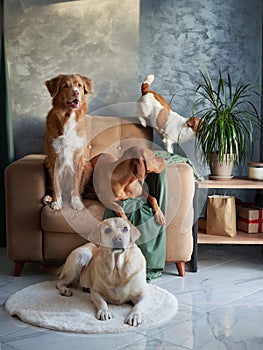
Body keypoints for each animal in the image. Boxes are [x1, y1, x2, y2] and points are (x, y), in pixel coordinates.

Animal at [44, 74, 94, 211]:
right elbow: (56, 183)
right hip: (45, 160)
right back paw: (48, 197)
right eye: (65, 86)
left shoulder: (78, 158)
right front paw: (56, 201)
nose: (76, 92)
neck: (68, 117)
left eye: (79, 85)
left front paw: (76, 202)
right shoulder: (53, 157)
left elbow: (75, 184)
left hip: (87, 165)